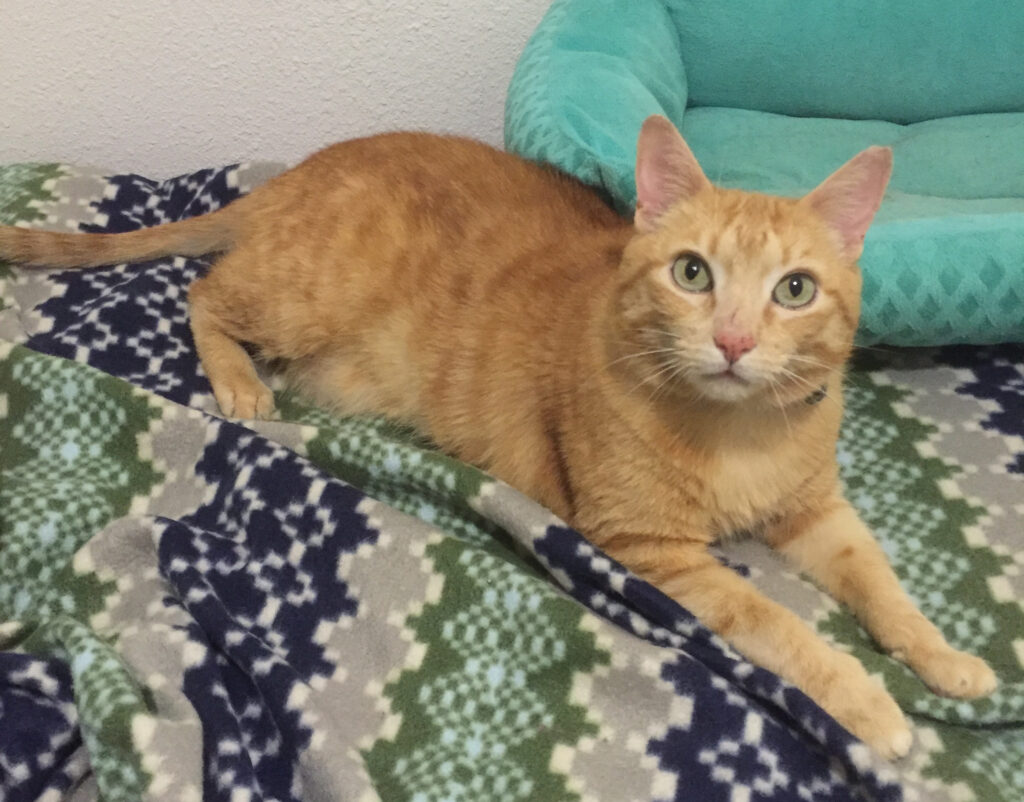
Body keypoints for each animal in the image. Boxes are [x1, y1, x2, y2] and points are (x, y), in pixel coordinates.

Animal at [0, 114, 991, 757]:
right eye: (692, 273)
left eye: (794, 290)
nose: (736, 341)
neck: (739, 433)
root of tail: (301, 170)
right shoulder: (652, 551)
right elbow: (778, 622)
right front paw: (866, 700)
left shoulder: (817, 514)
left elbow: (883, 586)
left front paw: (945, 660)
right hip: (297, 298)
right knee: (202, 292)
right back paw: (239, 381)